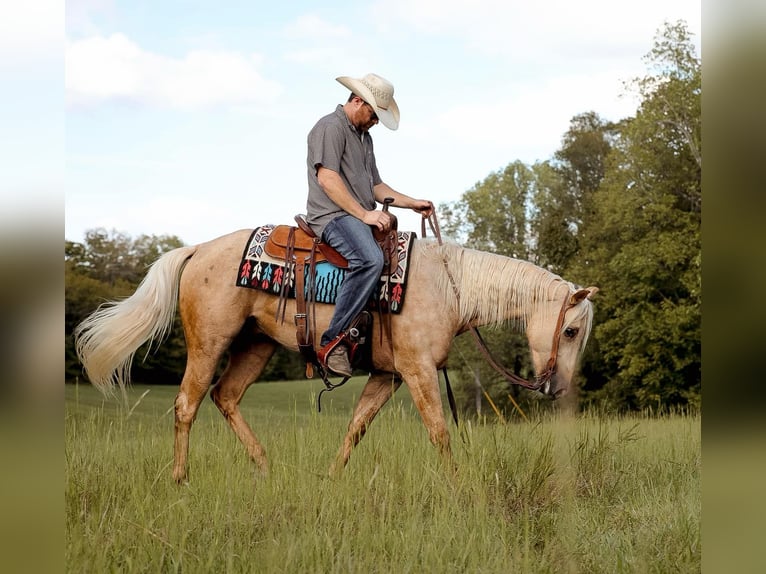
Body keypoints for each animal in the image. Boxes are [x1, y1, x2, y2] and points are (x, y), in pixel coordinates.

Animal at [74, 227, 597, 483]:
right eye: (571, 330)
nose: (557, 388)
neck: (449, 286)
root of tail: (198, 248)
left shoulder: (388, 376)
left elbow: (355, 429)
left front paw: (328, 479)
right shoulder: (418, 370)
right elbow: (440, 432)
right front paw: (460, 487)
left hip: (256, 344)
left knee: (226, 397)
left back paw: (264, 469)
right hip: (209, 342)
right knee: (187, 404)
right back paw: (181, 480)